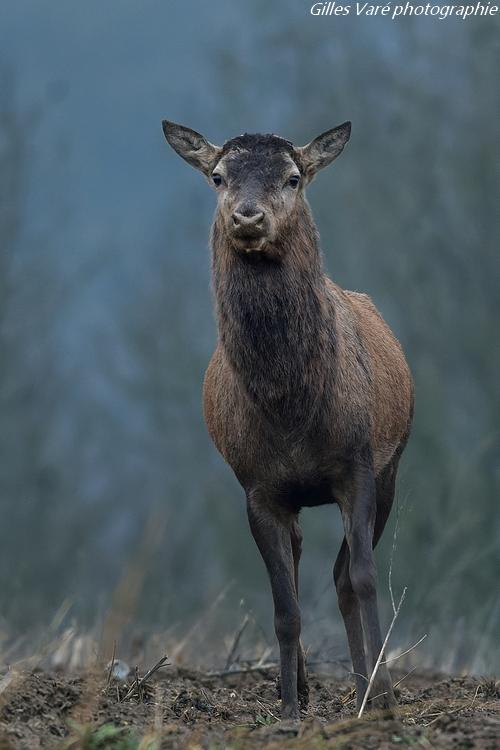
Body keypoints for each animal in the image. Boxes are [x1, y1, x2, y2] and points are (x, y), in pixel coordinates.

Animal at [161, 122, 414, 724]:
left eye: (293, 176)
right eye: (218, 175)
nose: (248, 216)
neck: (292, 412)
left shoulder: (358, 466)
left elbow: (364, 578)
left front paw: (384, 701)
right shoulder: (258, 488)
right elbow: (284, 607)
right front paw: (292, 711)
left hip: (393, 468)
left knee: (343, 577)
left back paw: (365, 687)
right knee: (299, 569)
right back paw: (306, 685)